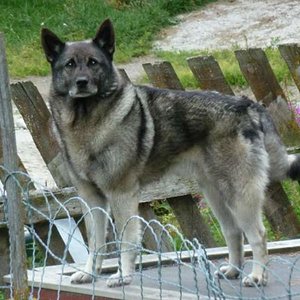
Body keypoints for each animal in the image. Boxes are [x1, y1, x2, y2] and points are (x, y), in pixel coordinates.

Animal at [41, 19, 300, 288]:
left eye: (93, 62)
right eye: (70, 64)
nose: (81, 82)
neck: (87, 121)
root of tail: (248, 105)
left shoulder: (121, 195)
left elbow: (125, 241)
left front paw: (123, 276)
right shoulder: (92, 200)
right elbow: (96, 243)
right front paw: (90, 273)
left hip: (239, 194)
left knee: (258, 235)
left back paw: (257, 276)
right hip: (216, 195)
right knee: (234, 232)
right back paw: (232, 270)